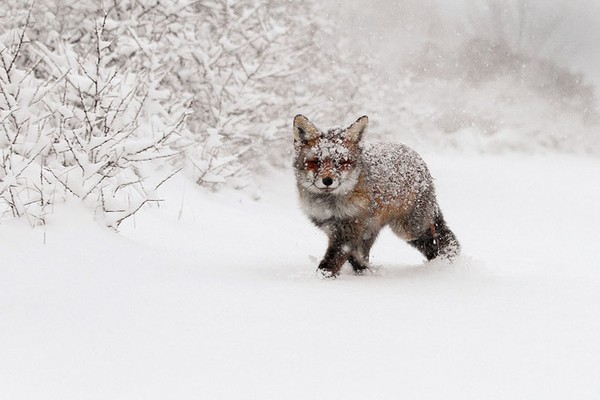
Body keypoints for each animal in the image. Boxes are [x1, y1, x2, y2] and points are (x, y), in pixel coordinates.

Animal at [294, 114, 460, 276]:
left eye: (341, 162)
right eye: (315, 162)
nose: (327, 180)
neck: (331, 206)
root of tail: (414, 154)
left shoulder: (348, 228)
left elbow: (330, 262)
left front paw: (321, 279)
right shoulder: (334, 227)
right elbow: (354, 256)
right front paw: (363, 271)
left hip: (408, 229)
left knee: (435, 235)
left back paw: (446, 260)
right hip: (373, 230)